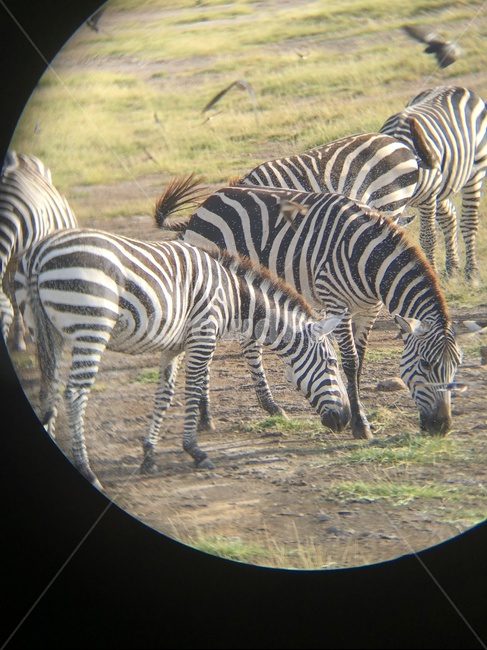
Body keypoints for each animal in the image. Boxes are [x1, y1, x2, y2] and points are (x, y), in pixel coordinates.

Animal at [14, 229, 350, 490]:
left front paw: (149, 453)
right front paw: (194, 450)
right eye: (332, 364)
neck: (233, 296)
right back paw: (86, 469)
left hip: (45, 331)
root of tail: (40, 253)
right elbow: (193, 390)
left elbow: (165, 394)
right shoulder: (203, 334)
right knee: (74, 394)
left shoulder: (174, 346)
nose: (345, 420)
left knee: (49, 388)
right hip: (90, 328)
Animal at [155, 180, 463, 441]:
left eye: (456, 366)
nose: (441, 427)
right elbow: (350, 361)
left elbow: (360, 360)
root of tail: (207, 203)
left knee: (248, 344)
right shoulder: (336, 303)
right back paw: (207, 416)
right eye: (425, 365)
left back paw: (265, 406)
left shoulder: (369, 310)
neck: (371, 261)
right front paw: (359, 424)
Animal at [379, 85, 487, 284]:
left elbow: (428, 237)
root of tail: (456, 87)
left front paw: (431, 274)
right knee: (449, 217)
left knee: (469, 221)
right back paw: (452, 268)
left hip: (474, 171)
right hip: (443, 183)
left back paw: (471, 273)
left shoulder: (427, 198)